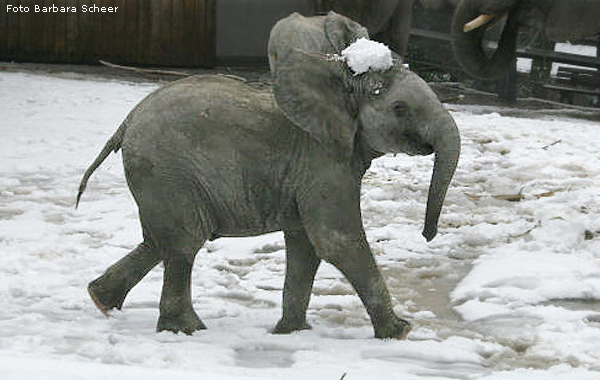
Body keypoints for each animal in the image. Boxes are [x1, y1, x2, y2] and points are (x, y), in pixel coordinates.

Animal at [78, 12, 460, 338]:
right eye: (400, 108)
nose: (427, 235)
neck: (338, 77)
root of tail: (127, 122)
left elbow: (306, 246)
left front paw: (292, 333)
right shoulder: (322, 160)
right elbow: (336, 239)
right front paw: (400, 332)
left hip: (160, 175)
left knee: (160, 240)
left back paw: (101, 302)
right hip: (167, 169)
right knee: (184, 241)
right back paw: (186, 329)